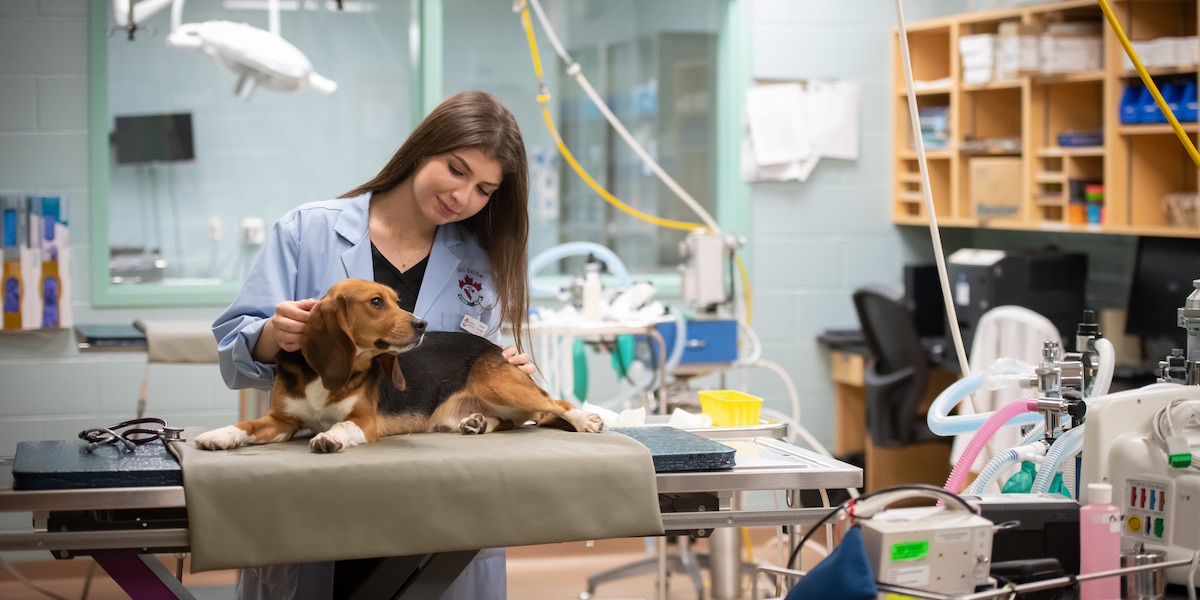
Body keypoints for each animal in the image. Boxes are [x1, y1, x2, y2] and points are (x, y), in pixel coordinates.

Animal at [202, 278, 609, 451]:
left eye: (397, 301)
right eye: (376, 302)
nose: (421, 324)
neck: (326, 376)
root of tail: (492, 346)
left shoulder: (364, 422)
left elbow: (344, 425)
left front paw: (330, 436)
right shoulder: (282, 421)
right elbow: (247, 426)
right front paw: (220, 435)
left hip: (500, 384)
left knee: (556, 404)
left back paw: (585, 420)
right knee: (511, 421)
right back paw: (478, 422)